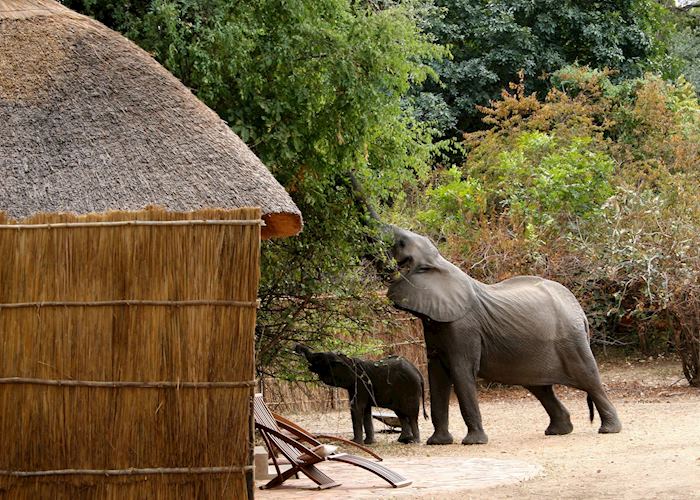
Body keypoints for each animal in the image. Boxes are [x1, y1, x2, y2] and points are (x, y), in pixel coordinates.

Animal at [292, 344, 424, 446]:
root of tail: (418, 372)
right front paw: (368, 443)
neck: (348, 361)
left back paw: (414, 442)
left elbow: (356, 407)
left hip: (409, 389)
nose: (296, 347)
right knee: (401, 413)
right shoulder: (356, 387)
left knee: (411, 414)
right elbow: (366, 411)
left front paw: (355, 443)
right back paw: (404, 440)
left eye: (319, 359)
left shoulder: (359, 385)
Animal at [388, 227, 624, 446]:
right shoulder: (436, 327)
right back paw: (558, 431)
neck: (441, 264)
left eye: (402, 244)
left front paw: (473, 442)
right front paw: (437, 443)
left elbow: (461, 372)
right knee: (540, 388)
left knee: (589, 379)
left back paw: (609, 430)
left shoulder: (464, 327)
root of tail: (580, 312)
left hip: (571, 341)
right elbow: (436, 376)